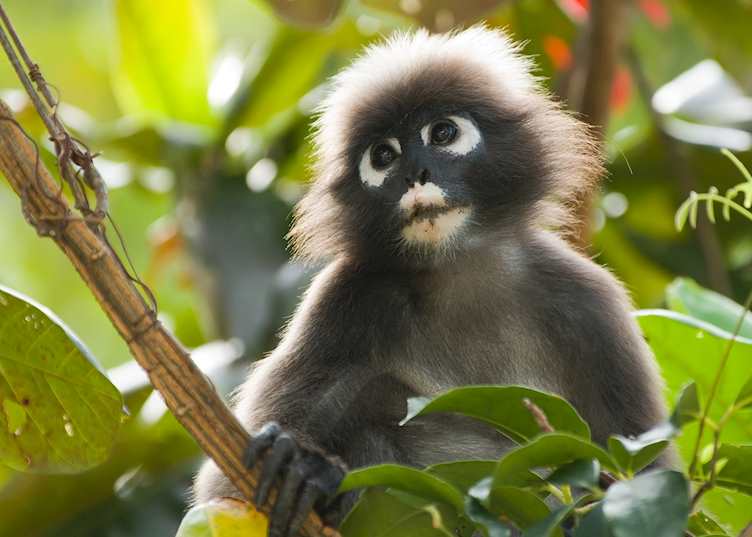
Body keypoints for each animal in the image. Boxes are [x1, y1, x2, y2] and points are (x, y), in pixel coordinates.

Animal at [193, 26, 669, 537]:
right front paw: (302, 467)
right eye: (383, 156)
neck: (460, 273)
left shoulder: (587, 303)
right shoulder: (347, 299)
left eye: (443, 133)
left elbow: (642, 466)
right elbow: (222, 491)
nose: (414, 174)